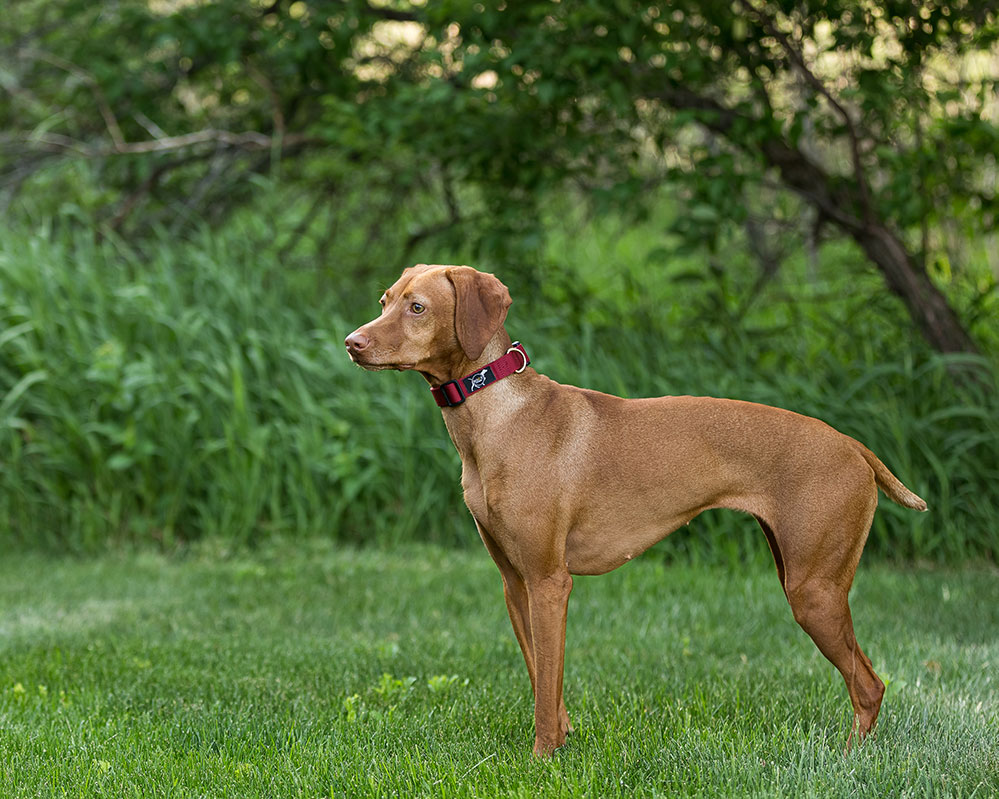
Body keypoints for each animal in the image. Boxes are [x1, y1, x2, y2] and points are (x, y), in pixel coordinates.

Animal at [346, 266, 928, 760]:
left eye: (418, 307)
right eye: (383, 301)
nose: (353, 343)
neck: (496, 415)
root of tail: (852, 445)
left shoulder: (549, 582)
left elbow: (546, 687)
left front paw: (542, 760)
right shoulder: (516, 584)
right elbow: (542, 679)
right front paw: (563, 739)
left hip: (814, 593)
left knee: (870, 685)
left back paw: (849, 761)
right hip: (801, 576)